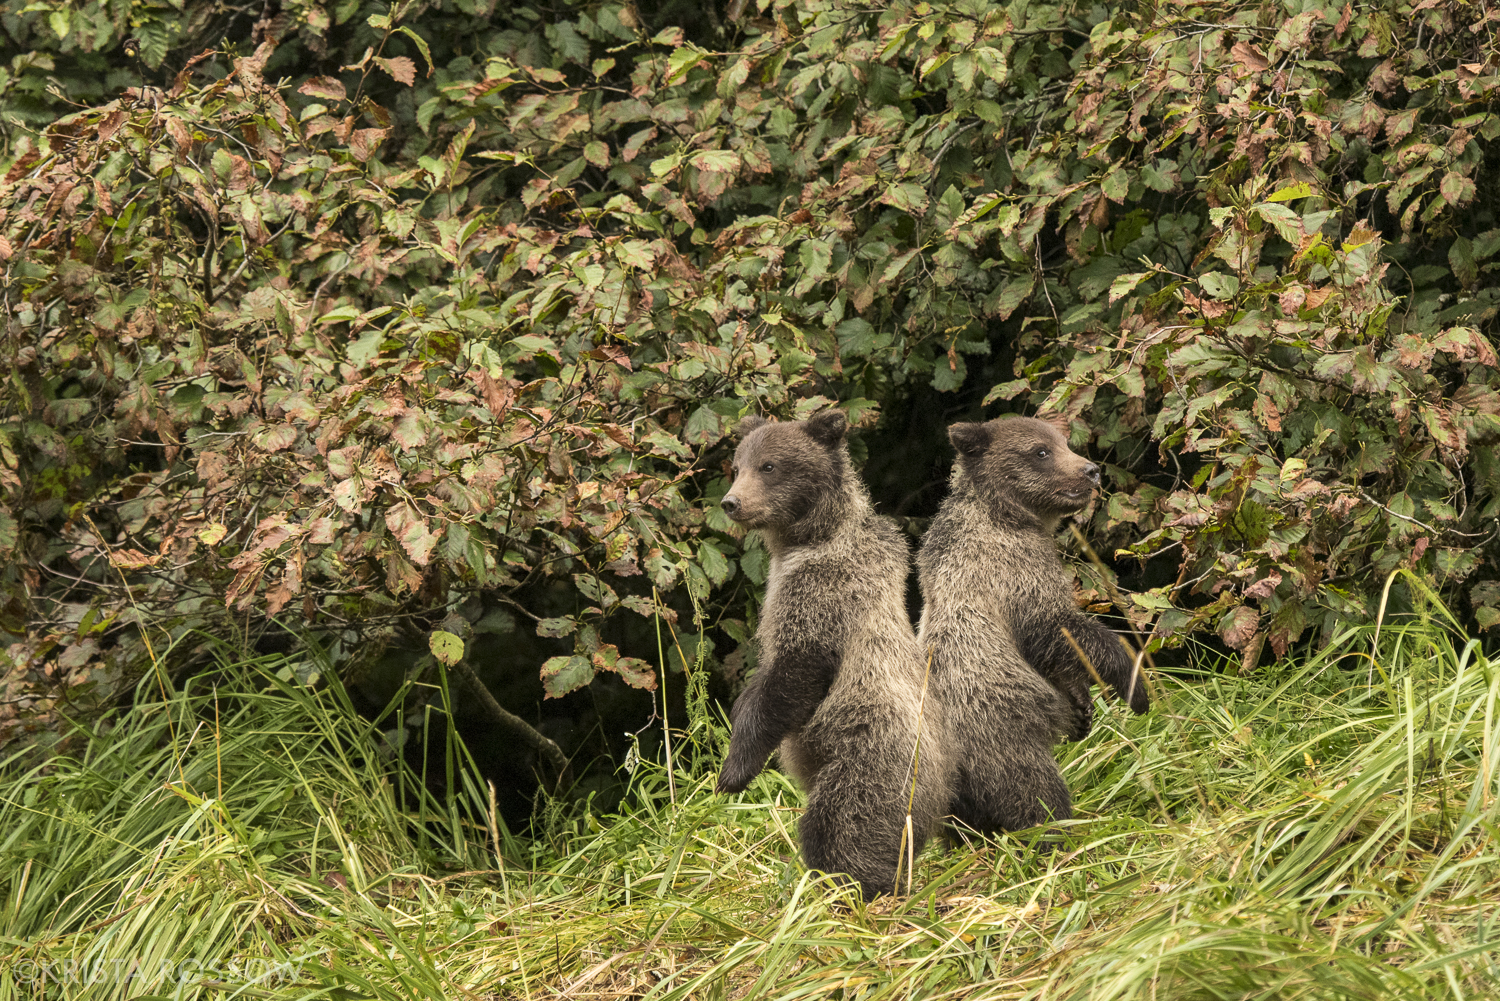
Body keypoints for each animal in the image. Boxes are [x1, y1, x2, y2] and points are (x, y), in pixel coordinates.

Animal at [716, 409, 953, 899]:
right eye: (736, 465)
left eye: (769, 466)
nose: (731, 502)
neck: (805, 539)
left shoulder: (823, 594)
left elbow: (791, 676)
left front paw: (733, 772)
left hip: (871, 755)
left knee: (842, 823)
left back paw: (847, 883)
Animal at [916, 415, 1148, 836]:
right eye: (1041, 451)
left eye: (1064, 442)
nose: (1091, 470)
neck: (1012, 515)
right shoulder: (1015, 572)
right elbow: (1059, 631)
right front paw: (1135, 687)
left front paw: (1084, 711)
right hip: (1003, 738)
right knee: (1035, 793)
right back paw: (1057, 832)